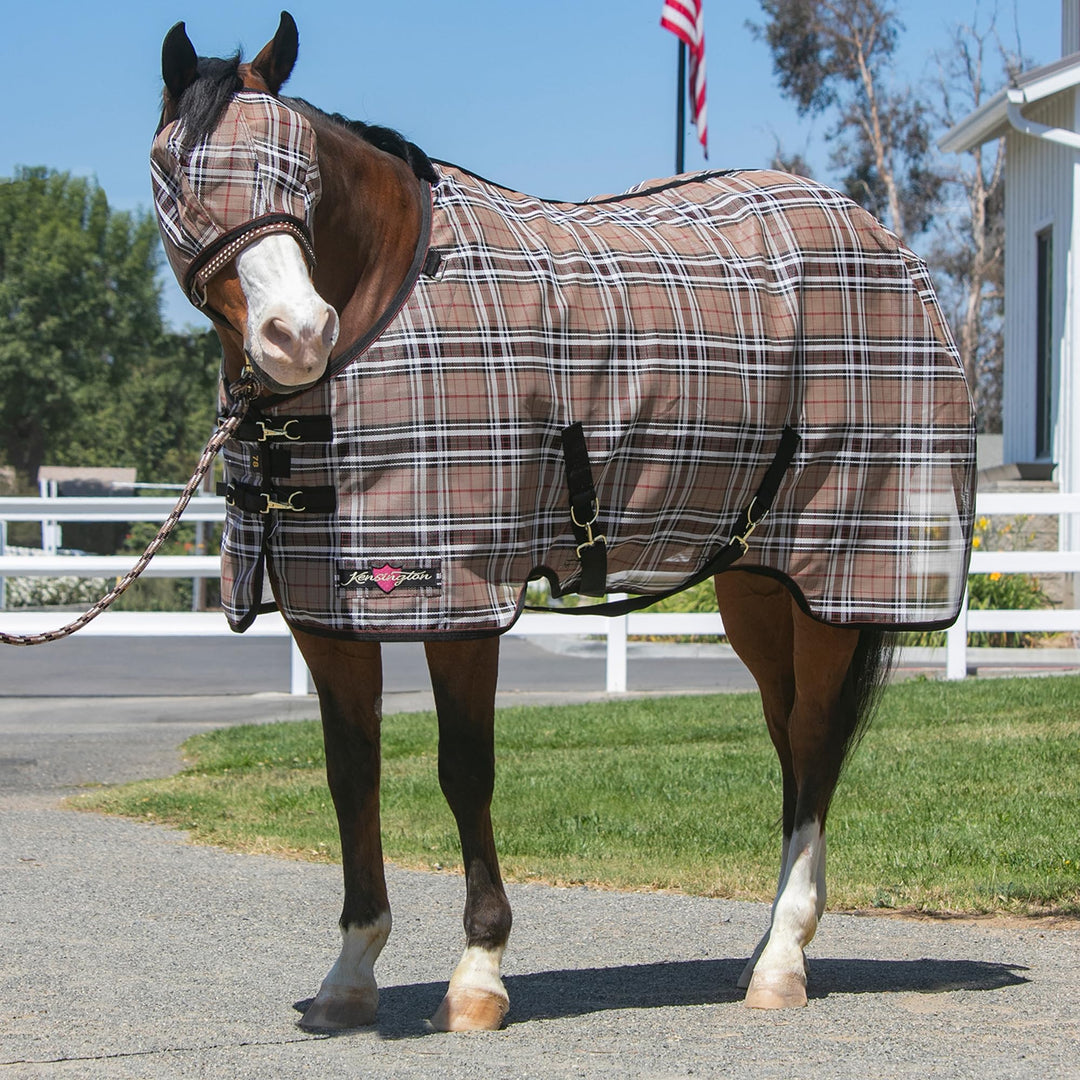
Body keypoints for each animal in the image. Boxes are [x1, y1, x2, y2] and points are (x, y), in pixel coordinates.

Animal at [152, 14, 975, 1032]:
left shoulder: (461, 600)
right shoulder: (326, 611)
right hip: (759, 584)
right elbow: (353, 777)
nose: (296, 333)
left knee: (817, 746)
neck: (390, 307)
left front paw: (478, 975)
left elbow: (464, 771)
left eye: (301, 174)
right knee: (789, 742)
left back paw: (781, 963)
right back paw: (769, 945)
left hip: (838, 581)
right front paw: (351, 974)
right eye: (177, 175)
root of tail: (880, 239)